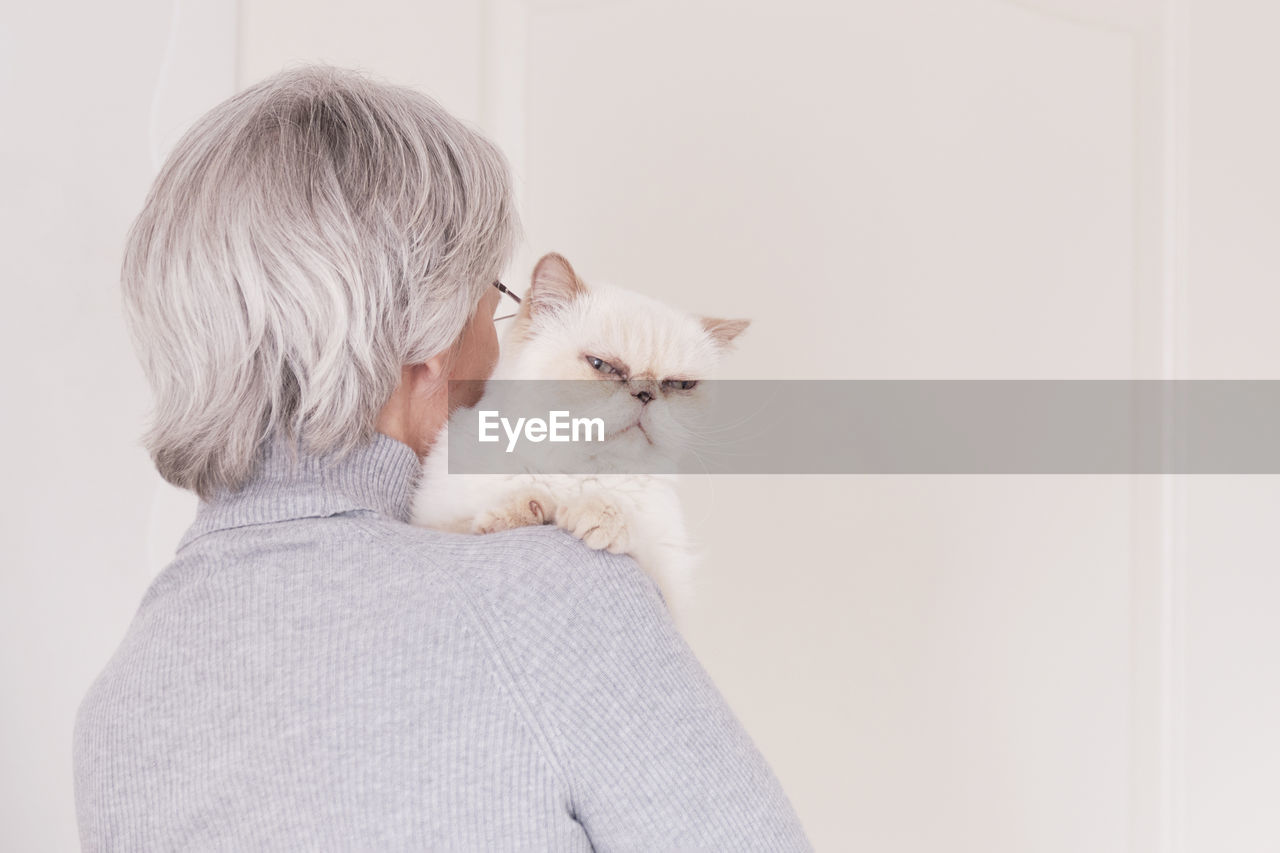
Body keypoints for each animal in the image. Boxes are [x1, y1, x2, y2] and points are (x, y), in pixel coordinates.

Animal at [409, 252, 747, 617]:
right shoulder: (430, 519)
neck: (576, 471)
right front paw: (522, 511)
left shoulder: (671, 584)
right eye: (601, 366)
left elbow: (630, 529)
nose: (645, 394)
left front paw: (592, 517)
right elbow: (481, 518)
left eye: (680, 385)